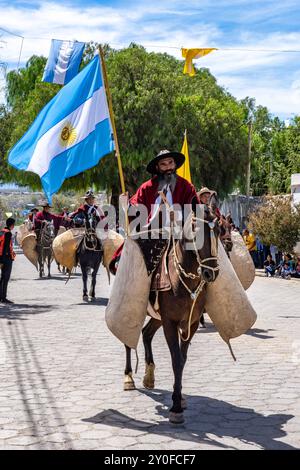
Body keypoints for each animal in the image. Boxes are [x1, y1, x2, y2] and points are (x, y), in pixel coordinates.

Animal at [123, 206, 219, 422]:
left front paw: (180, 398)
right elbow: (176, 359)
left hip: (157, 317)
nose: (211, 273)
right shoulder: (170, 322)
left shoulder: (190, 323)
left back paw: (149, 377)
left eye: (219, 231)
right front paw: (175, 407)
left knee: (146, 333)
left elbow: (182, 360)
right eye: (196, 232)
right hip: (133, 310)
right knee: (128, 339)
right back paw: (128, 377)